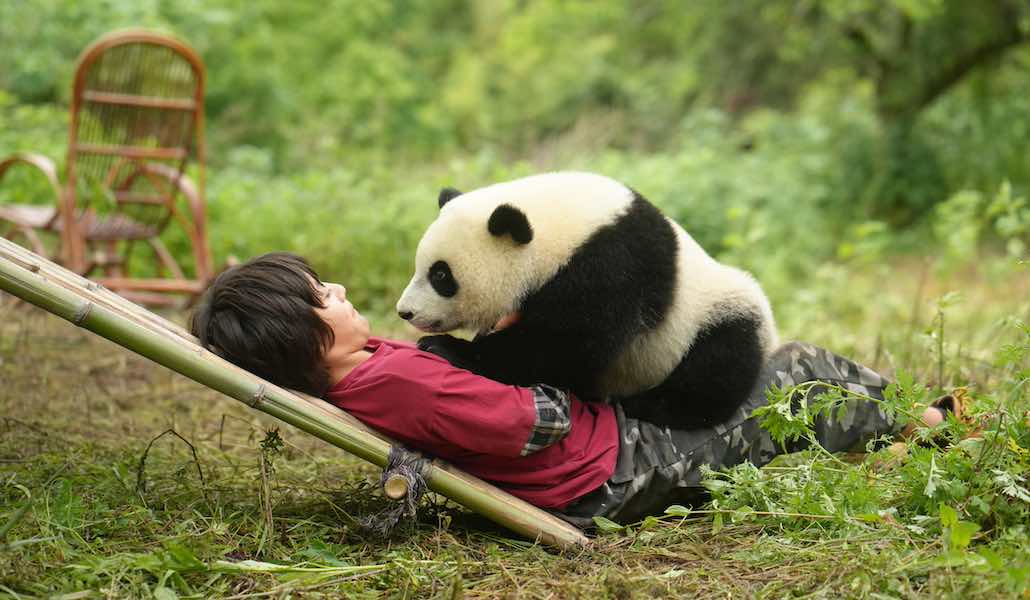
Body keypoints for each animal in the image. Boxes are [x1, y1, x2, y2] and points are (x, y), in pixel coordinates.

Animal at [396, 171, 779, 429]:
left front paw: (447, 348)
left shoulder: (611, 267)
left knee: (717, 366)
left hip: (714, 315)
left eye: (441, 276)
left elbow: (563, 346)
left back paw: (646, 405)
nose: (405, 312)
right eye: (420, 266)